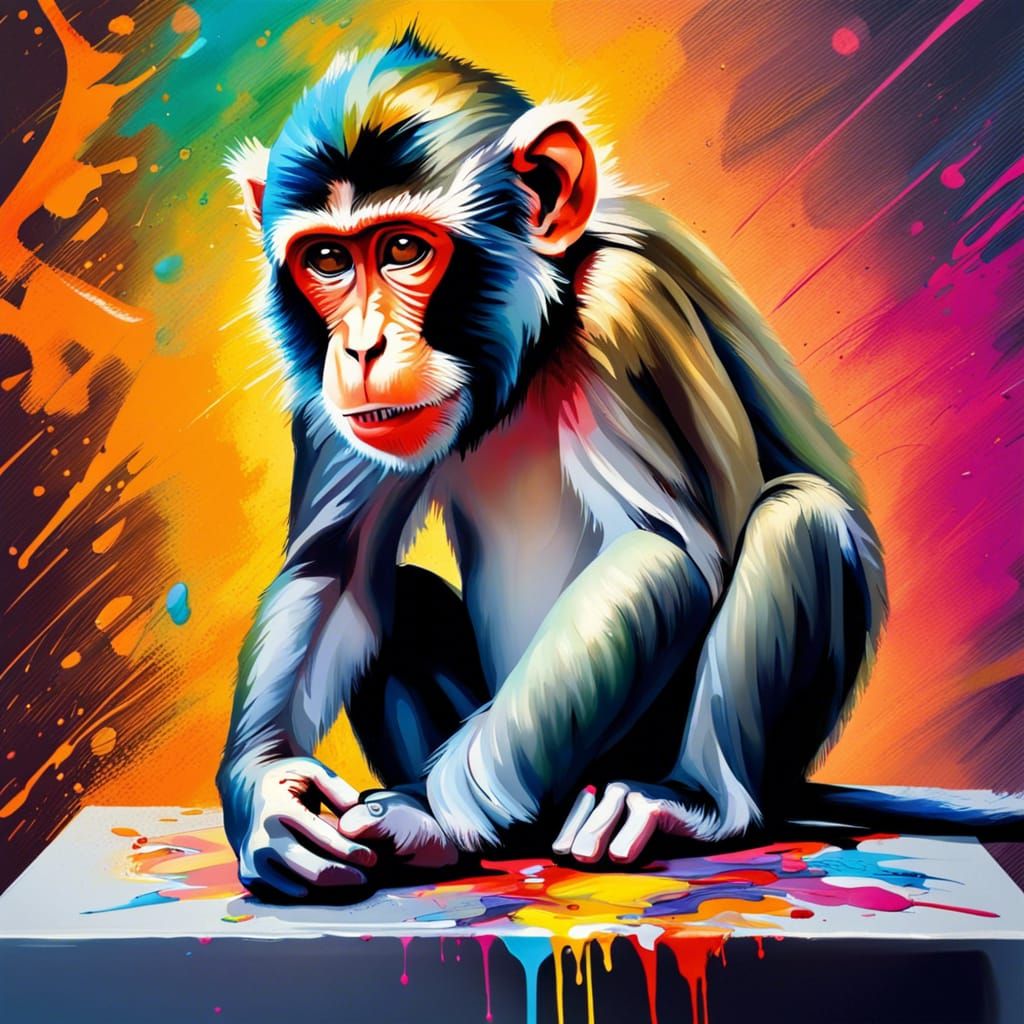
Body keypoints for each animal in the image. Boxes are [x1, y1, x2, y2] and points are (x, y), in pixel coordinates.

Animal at [216, 31, 1023, 902]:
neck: (530, 344)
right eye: (328, 260)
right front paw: (268, 798)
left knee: (799, 517)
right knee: (399, 595)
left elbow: (658, 551)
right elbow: (330, 568)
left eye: (402, 248)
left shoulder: (621, 307)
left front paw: (431, 814)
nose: (361, 347)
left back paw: (696, 803)